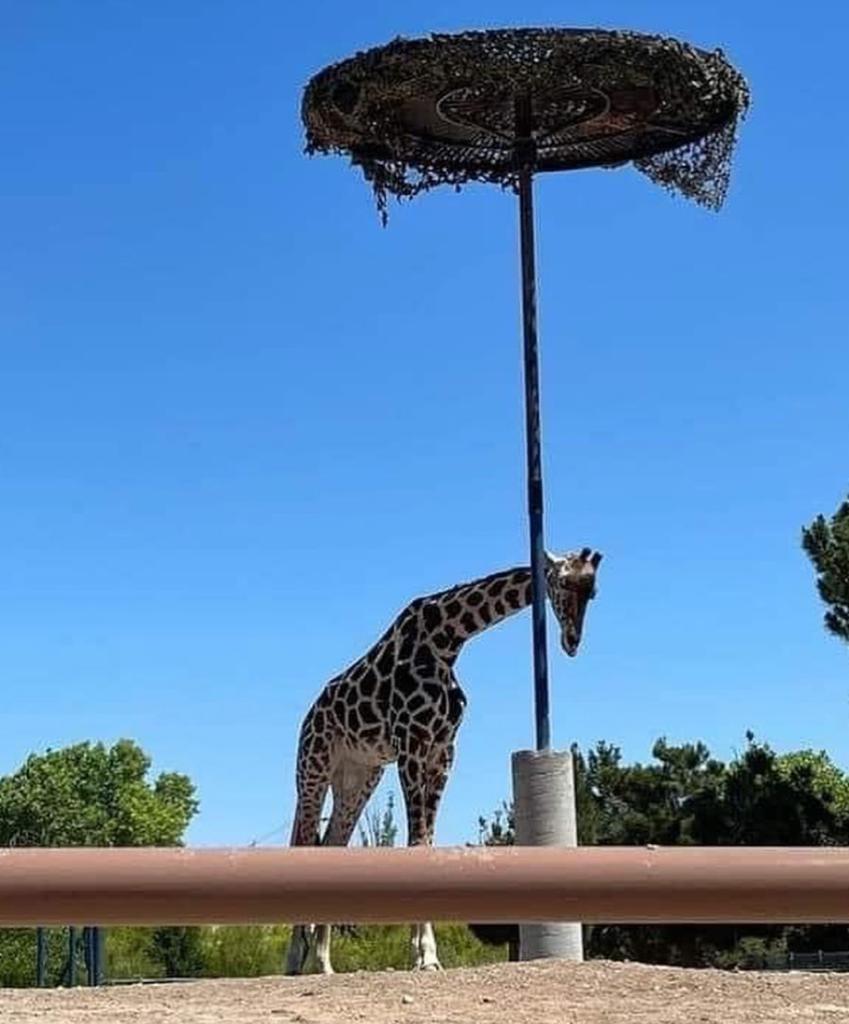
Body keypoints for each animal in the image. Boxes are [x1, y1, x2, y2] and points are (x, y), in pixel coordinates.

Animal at [286, 548, 602, 970]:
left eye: (592, 591)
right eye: (564, 582)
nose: (571, 642)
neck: (448, 638)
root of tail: (309, 715)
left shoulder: (443, 751)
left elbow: (427, 845)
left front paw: (427, 955)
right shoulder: (411, 745)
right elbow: (416, 844)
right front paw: (423, 956)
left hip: (359, 777)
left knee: (331, 846)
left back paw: (322, 965)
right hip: (313, 768)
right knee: (304, 842)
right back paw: (294, 961)